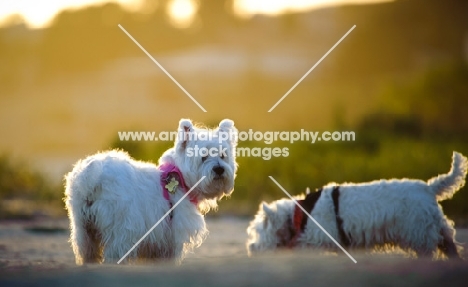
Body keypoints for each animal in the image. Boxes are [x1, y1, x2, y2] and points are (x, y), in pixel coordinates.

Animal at [64, 119, 238, 266]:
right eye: (203, 157)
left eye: (223, 155)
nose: (219, 169)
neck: (181, 180)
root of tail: (90, 178)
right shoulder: (172, 236)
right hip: (122, 230)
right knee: (115, 253)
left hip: (83, 229)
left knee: (88, 252)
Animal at [247, 152, 466, 260]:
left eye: (257, 232)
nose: (251, 249)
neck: (299, 214)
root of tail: (429, 188)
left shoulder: (317, 238)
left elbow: (301, 246)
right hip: (438, 227)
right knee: (450, 246)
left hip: (418, 232)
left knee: (428, 251)